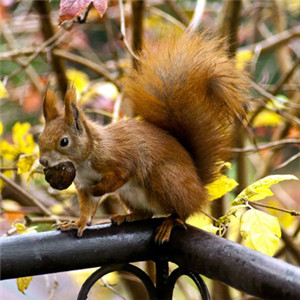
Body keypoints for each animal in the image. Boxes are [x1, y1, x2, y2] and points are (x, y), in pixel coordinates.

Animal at [37, 32, 248, 244]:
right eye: (40, 139)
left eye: (64, 141)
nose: (43, 161)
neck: (85, 159)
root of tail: (198, 186)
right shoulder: (83, 183)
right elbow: (87, 208)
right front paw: (77, 223)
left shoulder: (119, 159)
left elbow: (120, 176)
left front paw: (99, 190)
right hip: (131, 196)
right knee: (147, 213)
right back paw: (127, 216)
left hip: (167, 179)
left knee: (183, 211)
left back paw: (171, 221)